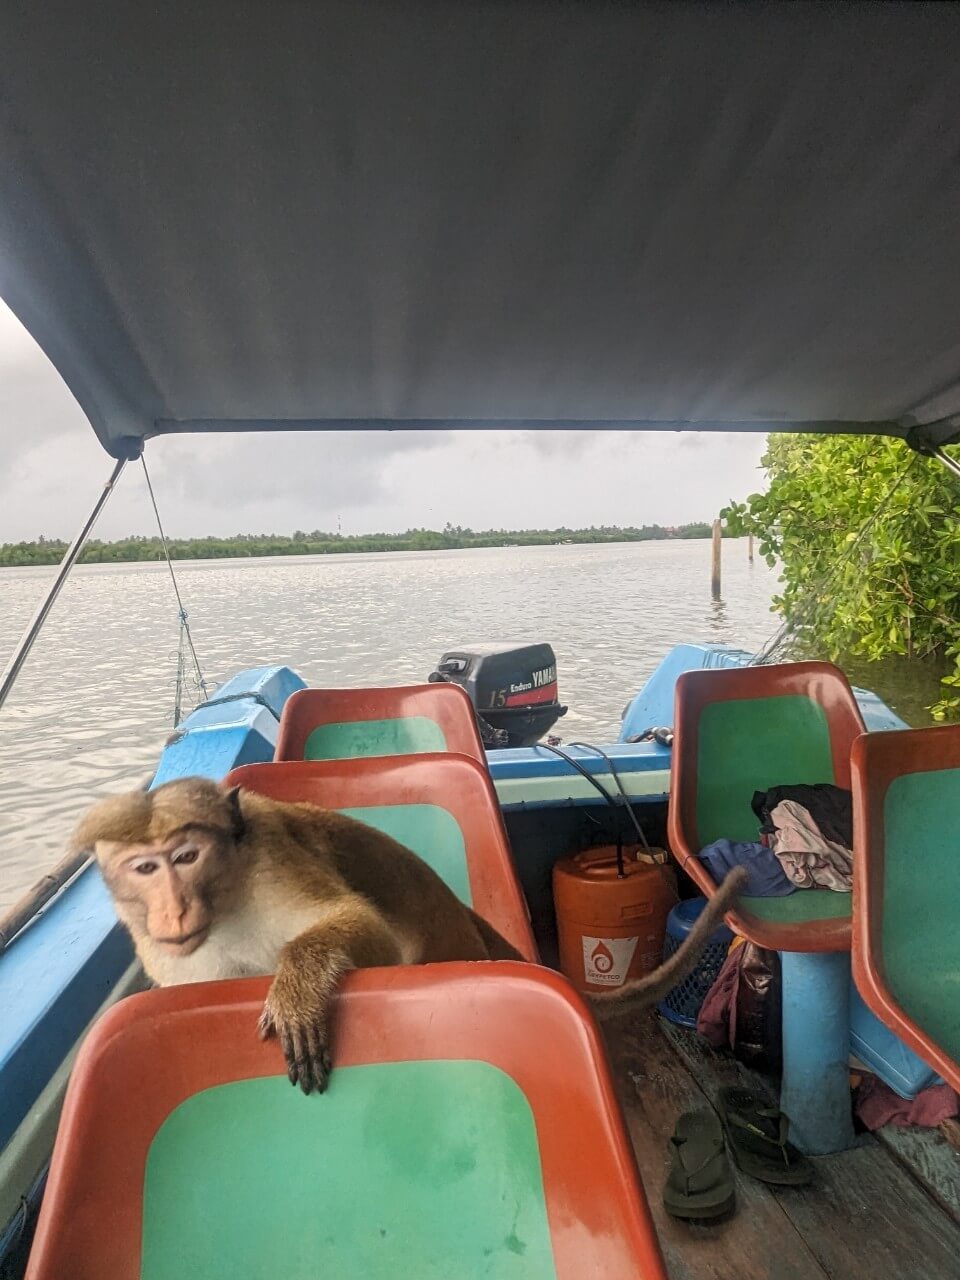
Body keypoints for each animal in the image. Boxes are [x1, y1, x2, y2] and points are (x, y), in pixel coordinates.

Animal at [73, 776, 747, 1094]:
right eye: (143, 868)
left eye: (185, 856)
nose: (172, 913)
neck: (227, 901)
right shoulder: (166, 957)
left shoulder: (272, 866)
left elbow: (364, 927)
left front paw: (297, 996)